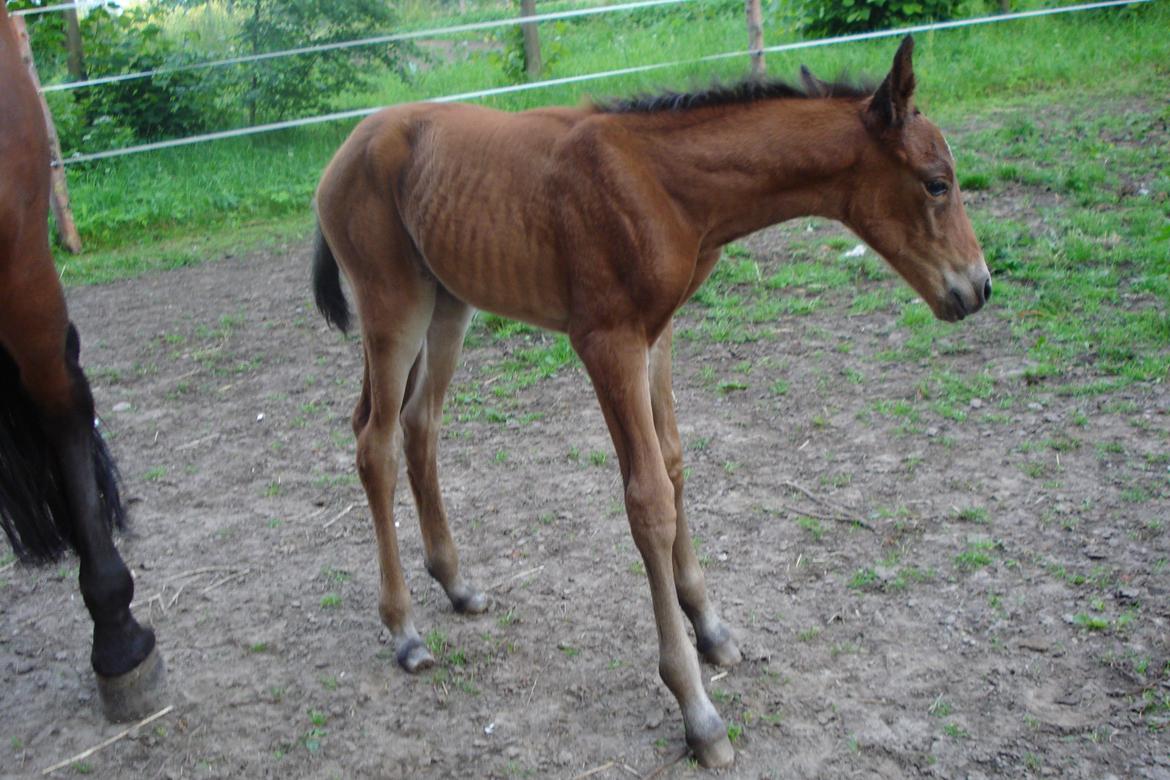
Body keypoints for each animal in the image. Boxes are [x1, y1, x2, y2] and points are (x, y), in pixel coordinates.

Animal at [311, 38, 987, 767]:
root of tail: (347, 147)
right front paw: (697, 708)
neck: (668, 187)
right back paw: (404, 629)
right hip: (394, 305)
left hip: (448, 303)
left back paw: (456, 584)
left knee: (420, 425)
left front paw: (711, 628)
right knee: (375, 443)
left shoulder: (658, 335)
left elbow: (674, 463)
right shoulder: (605, 341)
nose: (978, 287)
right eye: (937, 182)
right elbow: (648, 501)